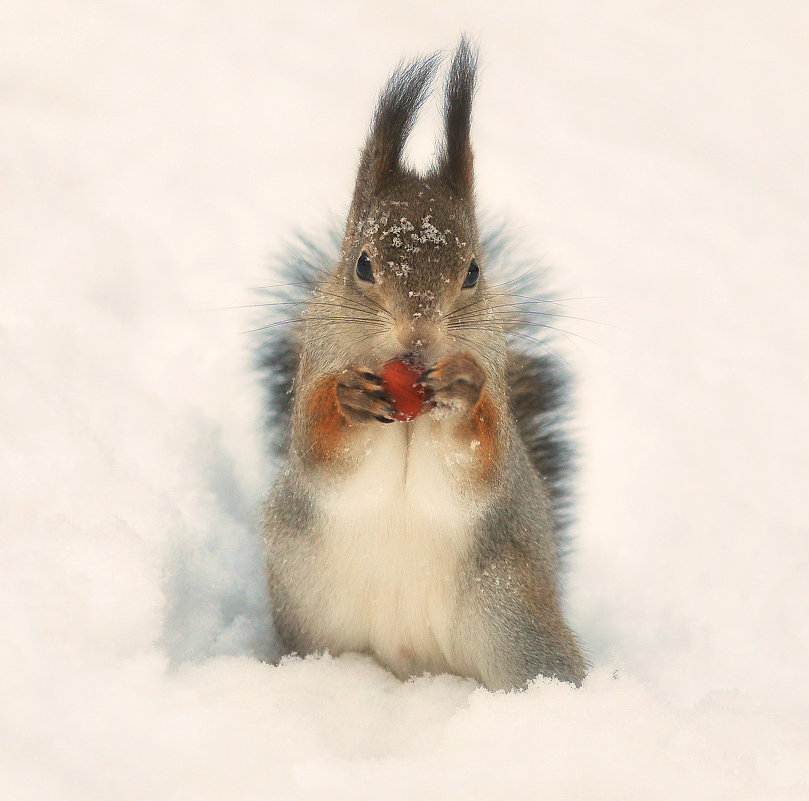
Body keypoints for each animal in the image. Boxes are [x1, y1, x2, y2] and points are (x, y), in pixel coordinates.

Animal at [262, 39, 584, 688]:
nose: (418, 334)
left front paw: (461, 392)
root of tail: (411, 663)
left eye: (473, 272)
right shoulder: (317, 367)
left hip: (515, 618)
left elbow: (479, 460)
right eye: (363, 265)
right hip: (308, 615)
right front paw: (350, 401)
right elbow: (322, 451)